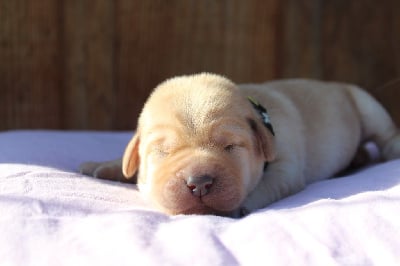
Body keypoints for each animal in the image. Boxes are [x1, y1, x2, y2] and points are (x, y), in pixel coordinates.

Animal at [80, 72, 400, 216]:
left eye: (230, 147)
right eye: (163, 152)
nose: (199, 183)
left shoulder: (286, 166)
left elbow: (268, 185)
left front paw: (238, 207)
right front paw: (104, 166)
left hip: (367, 106)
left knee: (385, 134)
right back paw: (358, 158)